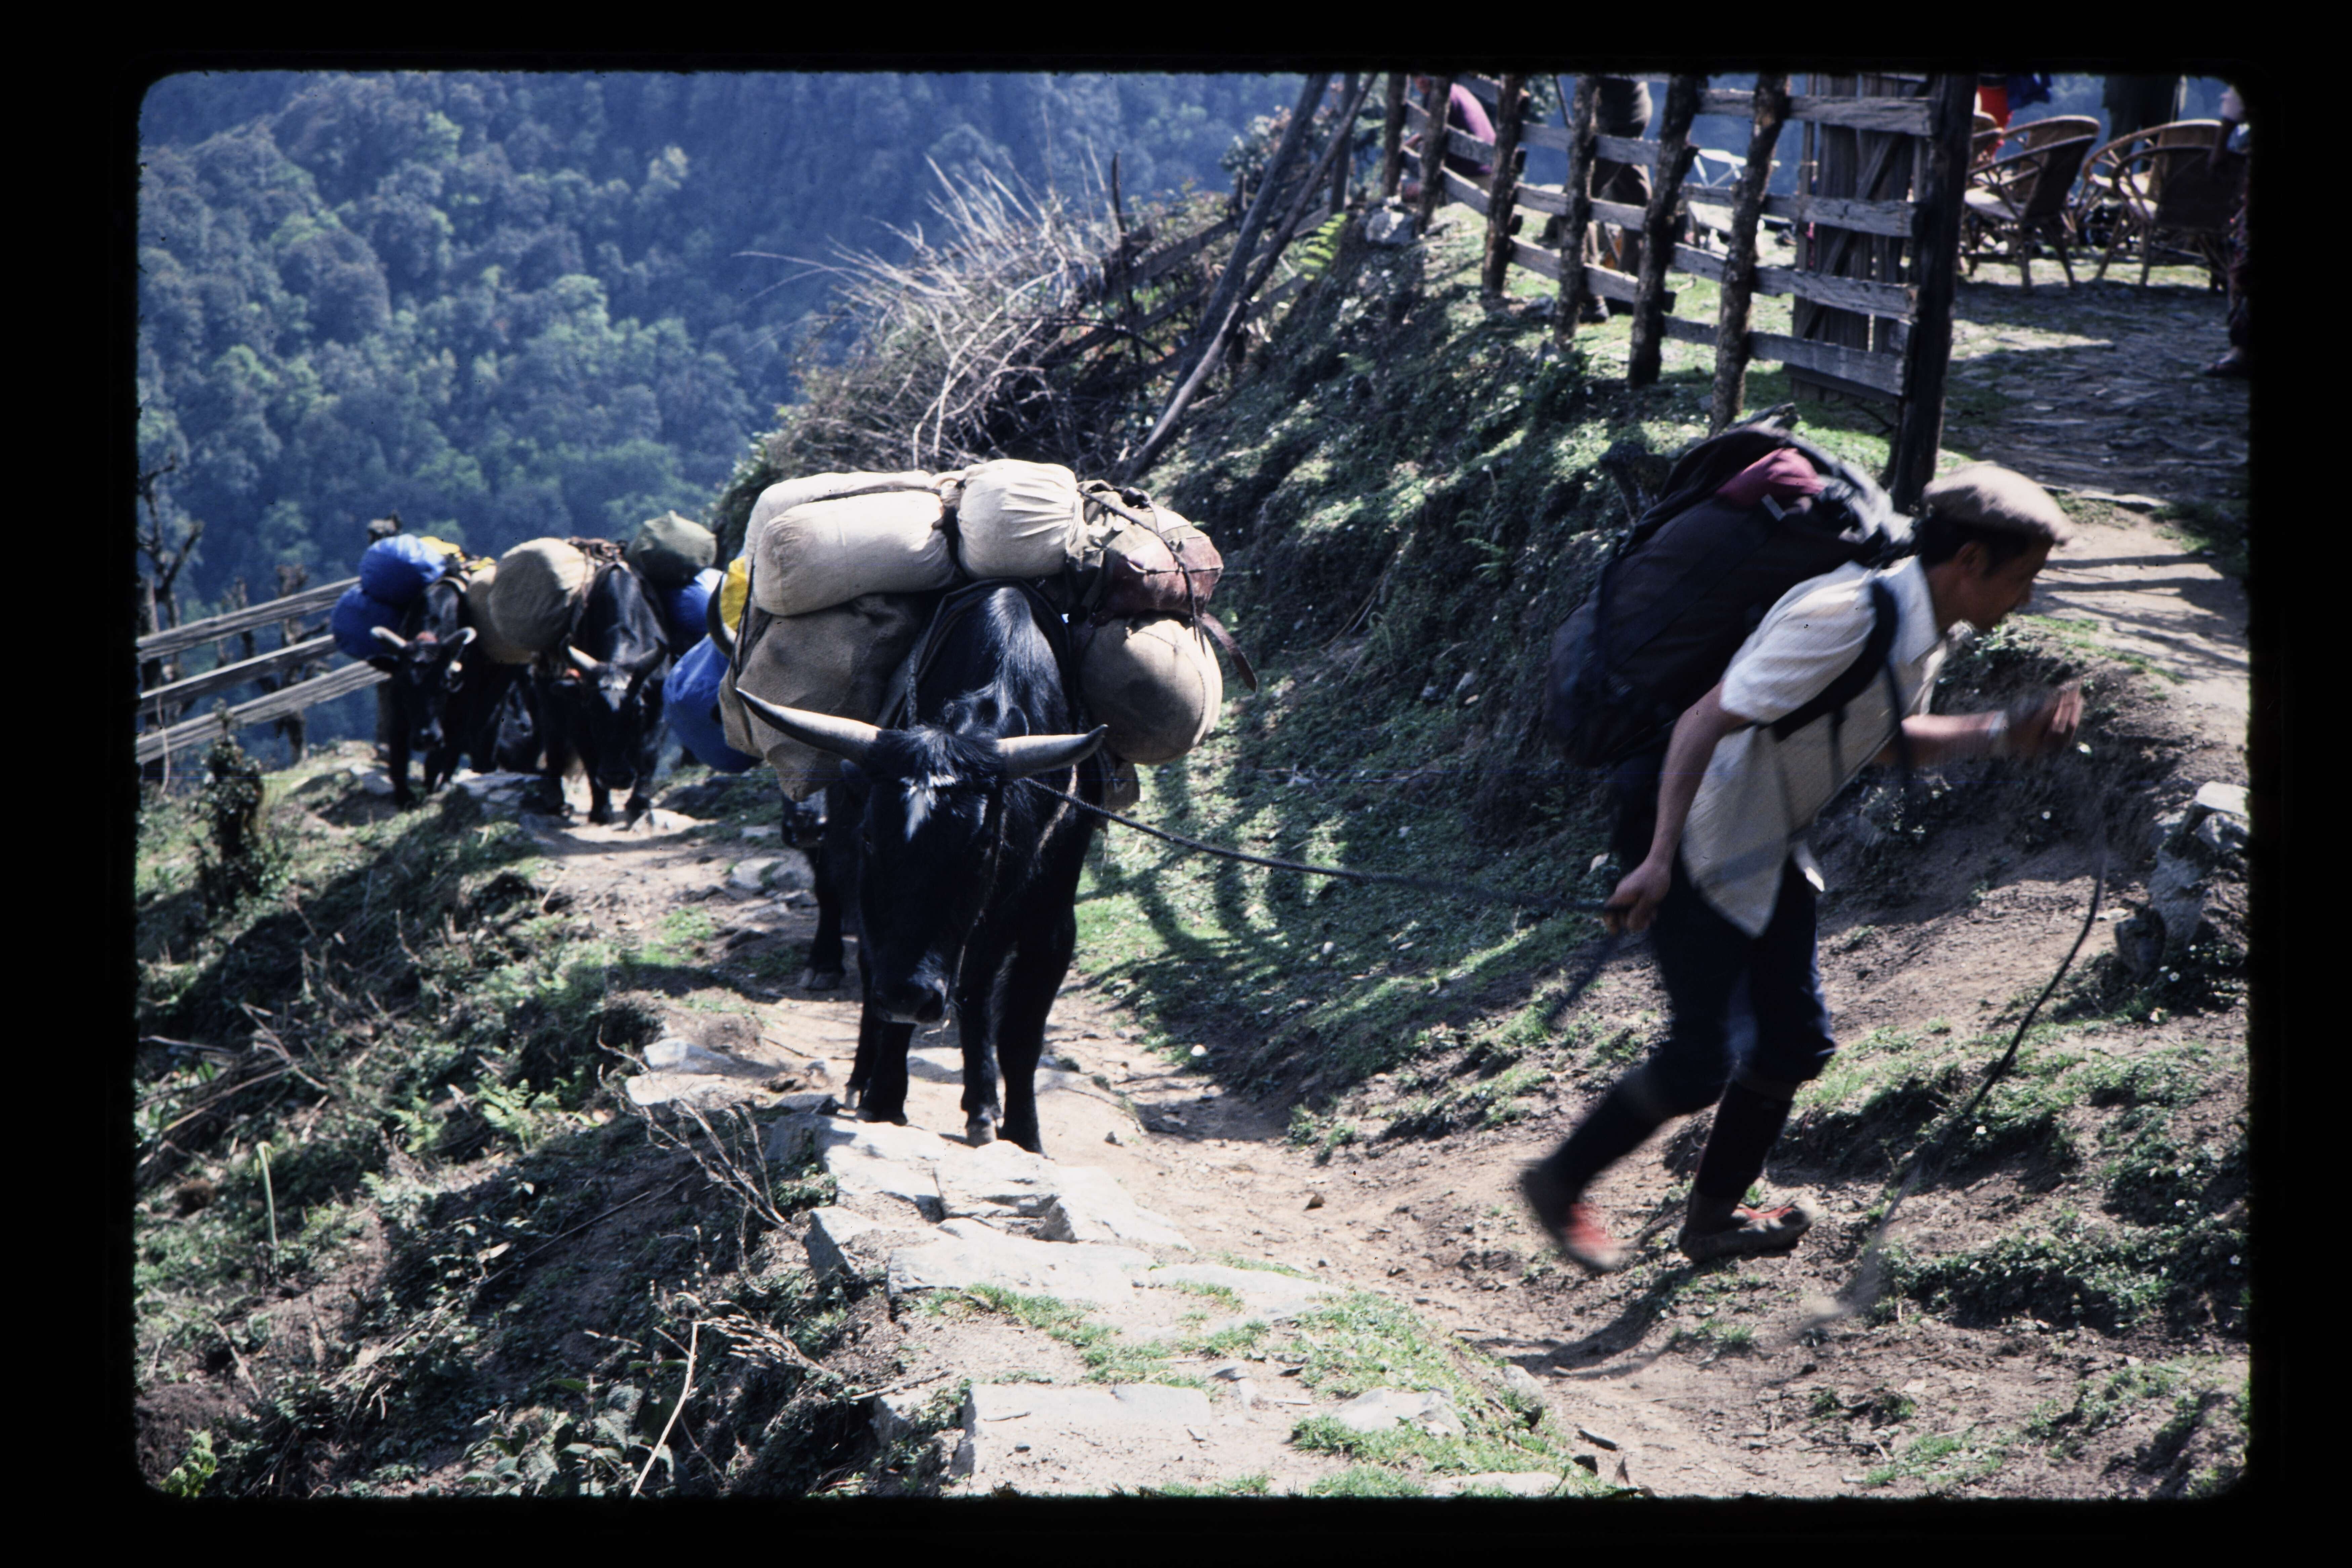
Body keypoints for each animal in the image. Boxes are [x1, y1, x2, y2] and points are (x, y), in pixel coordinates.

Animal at [529, 563, 671, 825]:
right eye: (592, 712)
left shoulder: (659, 708)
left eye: (637, 712)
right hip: (547, 700)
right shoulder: (578, 719)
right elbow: (590, 758)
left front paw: (639, 803)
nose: (616, 777)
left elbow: (649, 752)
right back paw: (555, 799)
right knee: (554, 742)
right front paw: (601, 810)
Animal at [736, 583, 1107, 1153]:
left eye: (982, 844)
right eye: (873, 835)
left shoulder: (1051, 920)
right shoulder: (871, 895)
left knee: (975, 988)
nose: (909, 996)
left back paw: (982, 1107)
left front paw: (1024, 1134)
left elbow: (1020, 1031)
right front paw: (884, 1096)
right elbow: (880, 978)